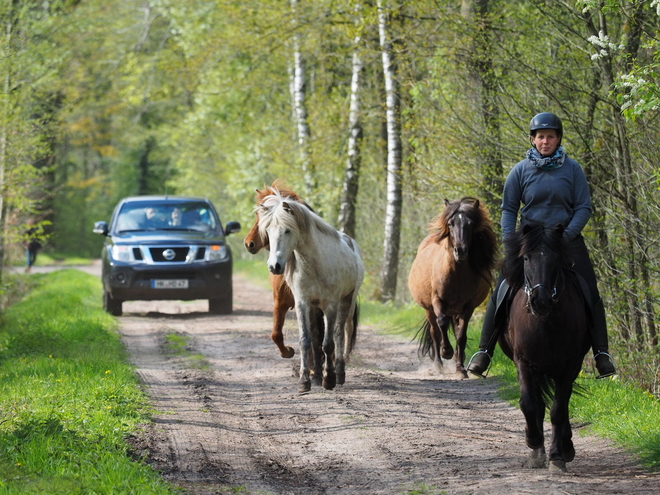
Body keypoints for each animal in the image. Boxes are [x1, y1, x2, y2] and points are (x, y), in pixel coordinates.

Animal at [256, 190, 366, 396]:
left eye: (287, 230)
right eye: (268, 231)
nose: (274, 266)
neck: (314, 265)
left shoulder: (330, 305)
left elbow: (328, 343)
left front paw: (329, 379)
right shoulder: (303, 304)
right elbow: (306, 340)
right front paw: (304, 381)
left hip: (346, 301)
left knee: (339, 334)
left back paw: (339, 374)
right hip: (316, 307)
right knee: (317, 337)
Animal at [408, 198, 496, 380]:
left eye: (470, 224)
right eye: (450, 223)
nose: (460, 251)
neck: (456, 274)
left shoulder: (467, 307)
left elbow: (461, 336)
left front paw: (461, 369)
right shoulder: (437, 301)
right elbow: (442, 323)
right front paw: (446, 351)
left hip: (455, 311)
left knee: (456, 331)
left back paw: (457, 361)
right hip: (429, 310)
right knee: (435, 332)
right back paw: (439, 365)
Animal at [498, 224, 592, 472]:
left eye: (556, 259)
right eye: (526, 258)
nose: (540, 302)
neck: (546, 323)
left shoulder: (570, 366)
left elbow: (559, 409)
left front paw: (557, 456)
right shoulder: (524, 363)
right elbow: (530, 404)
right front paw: (534, 443)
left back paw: (565, 447)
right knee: (539, 404)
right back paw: (538, 450)